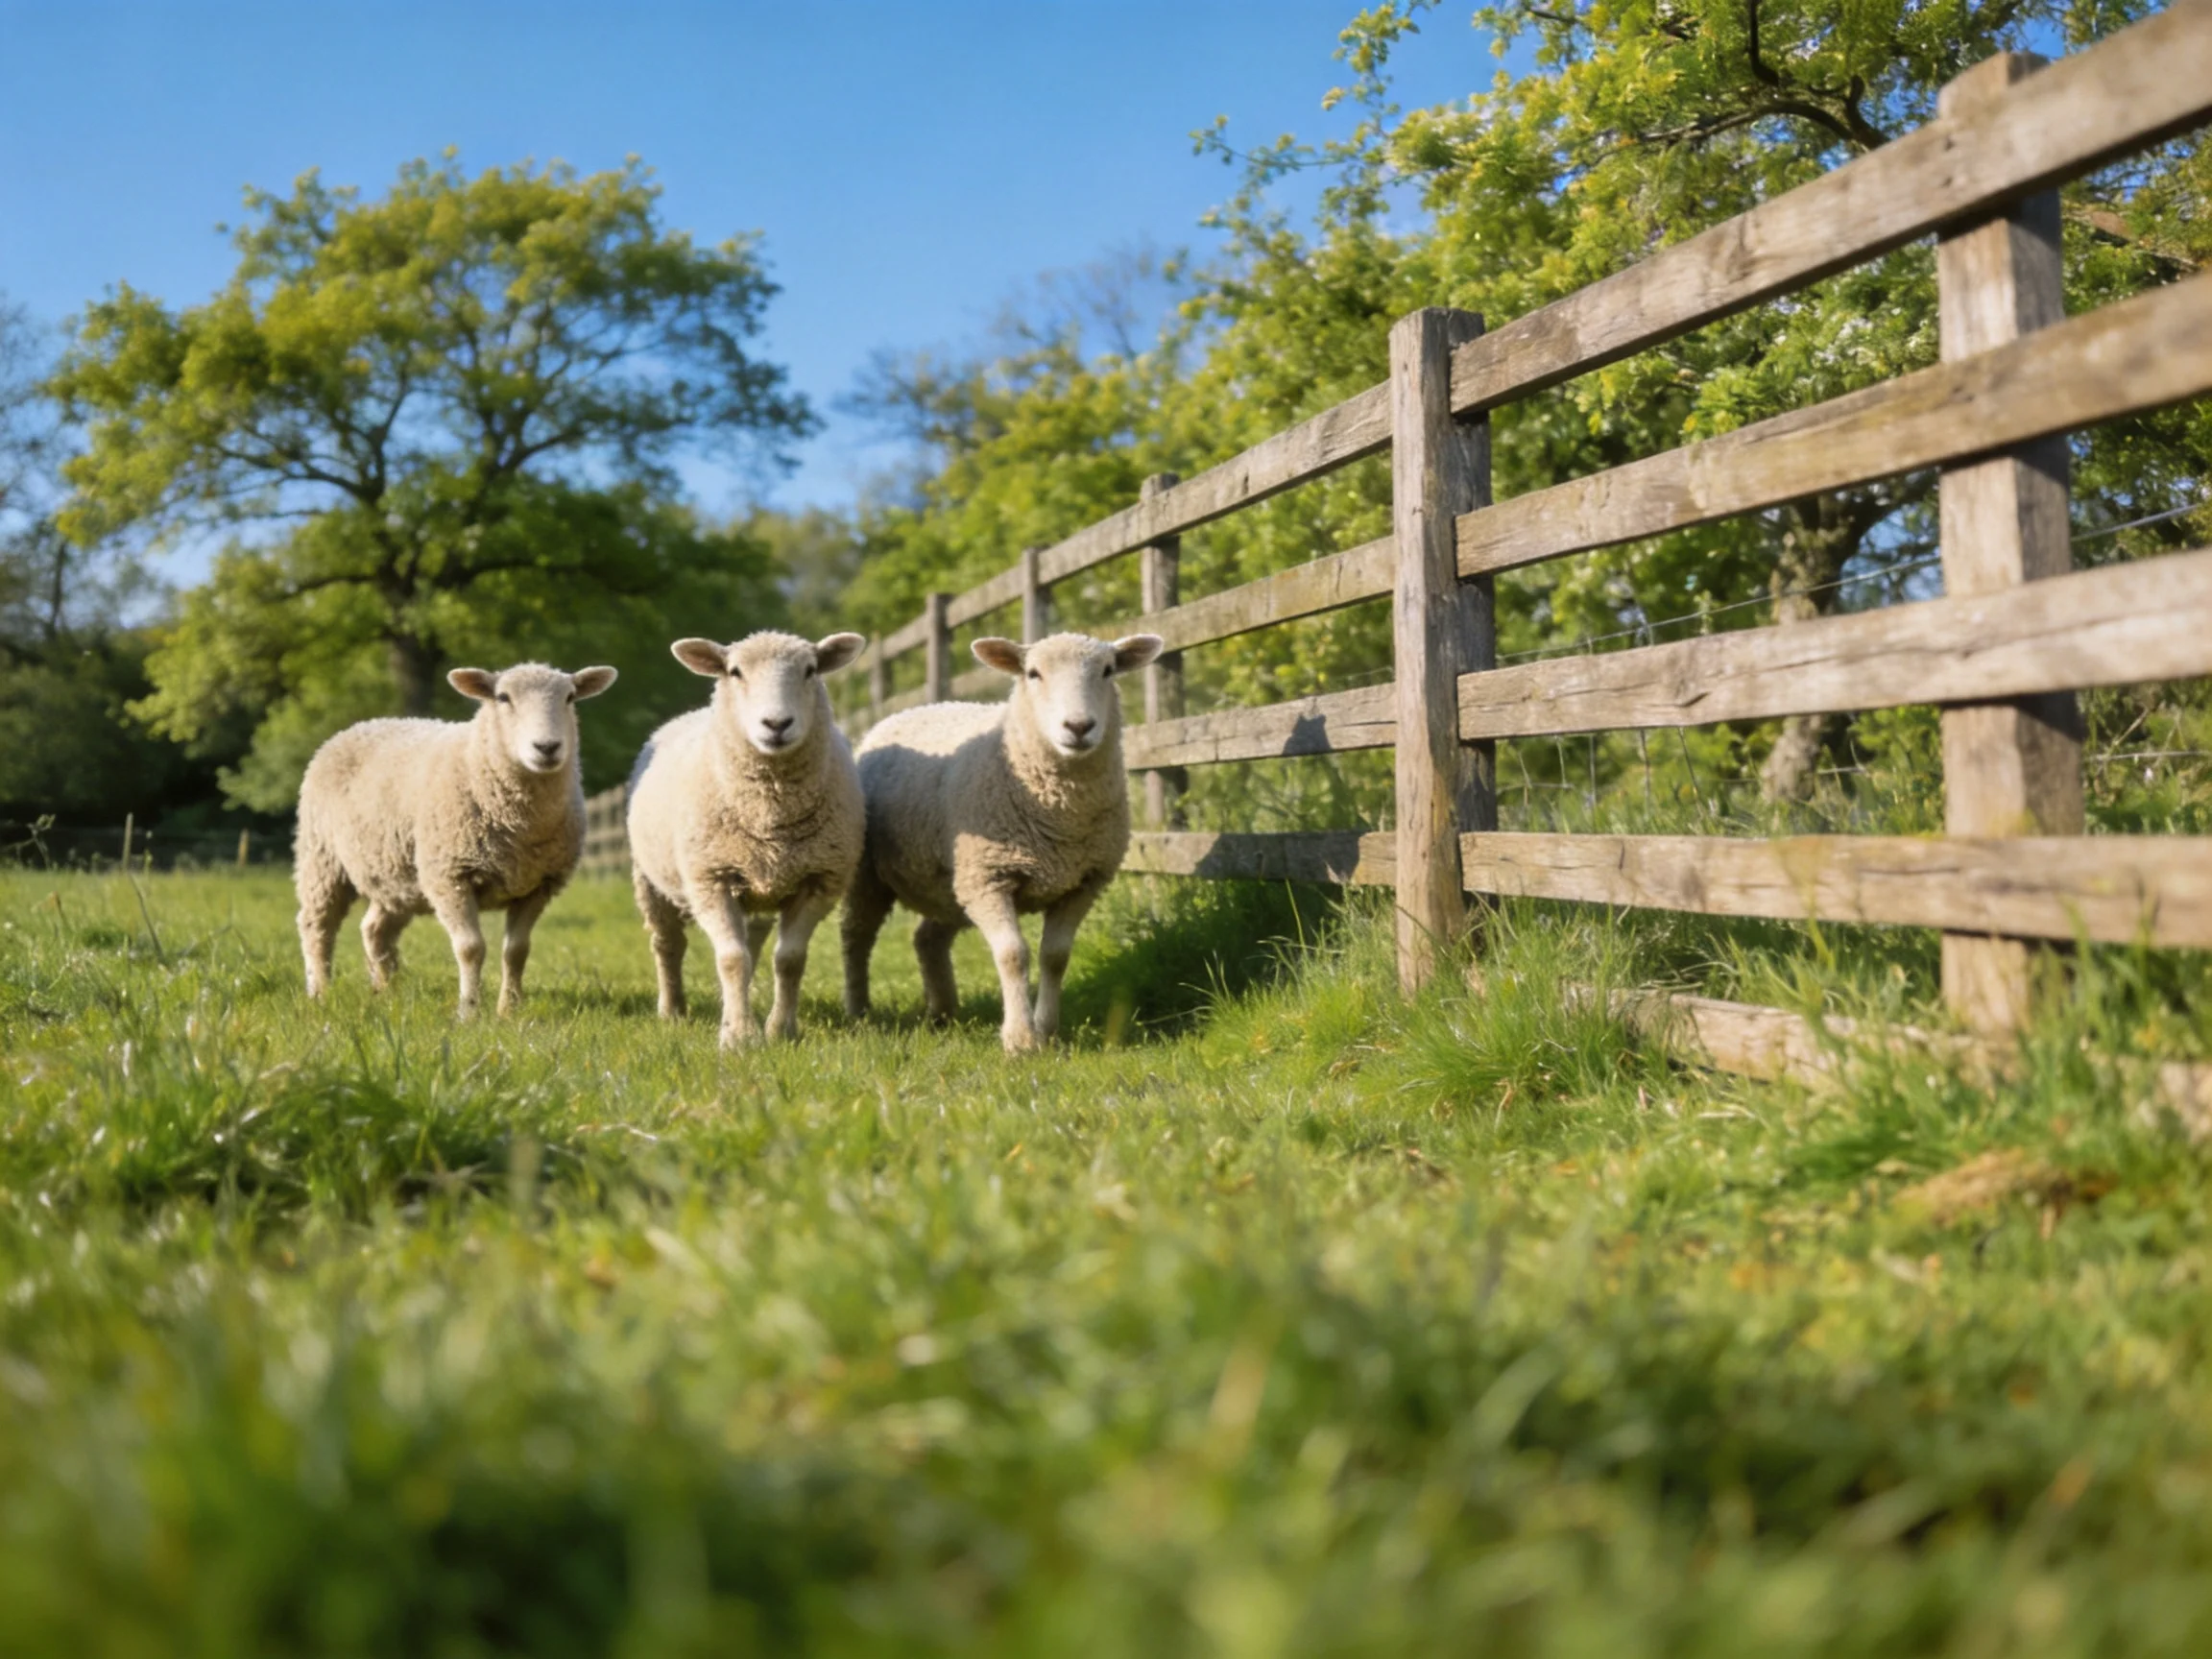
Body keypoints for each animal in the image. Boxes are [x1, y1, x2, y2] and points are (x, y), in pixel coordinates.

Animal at [295, 661, 618, 1018]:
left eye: (570, 697)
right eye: (502, 697)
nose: (547, 748)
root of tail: (362, 725)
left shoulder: (538, 885)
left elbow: (517, 950)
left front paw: (509, 1010)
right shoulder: (449, 876)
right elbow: (470, 948)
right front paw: (468, 1012)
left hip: (395, 876)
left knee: (375, 929)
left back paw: (387, 991)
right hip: (321, 857)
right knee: (316, 926)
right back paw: (320, 992)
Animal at [625, 630, 867, 1048]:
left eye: (810, 670)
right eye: (735, 671)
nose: (777, 723)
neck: (770, 815)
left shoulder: (817, 881)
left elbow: (788, 961)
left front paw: (779, 1030)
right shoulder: (710, 879)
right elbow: (731, 958)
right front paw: (739, 1037)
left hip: (758, 891)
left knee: (752, 944)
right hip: (649, 879)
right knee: (668, 944)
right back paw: (672, 1009)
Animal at [842, 630, 1165, 1054]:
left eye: (1108, 670)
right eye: (1033, 673)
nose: (1079, 726)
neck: (1059, 812)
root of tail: (905, 712)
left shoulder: (1082, 883)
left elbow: (1055, 957)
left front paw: (1047, 1030)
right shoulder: (989, 878)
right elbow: (1013, 955)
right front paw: (1020, 1039)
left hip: (950, 885)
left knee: (927, 939)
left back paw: (943, 1011)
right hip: (871, 874)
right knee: (857, 936)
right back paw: (859, 1011)